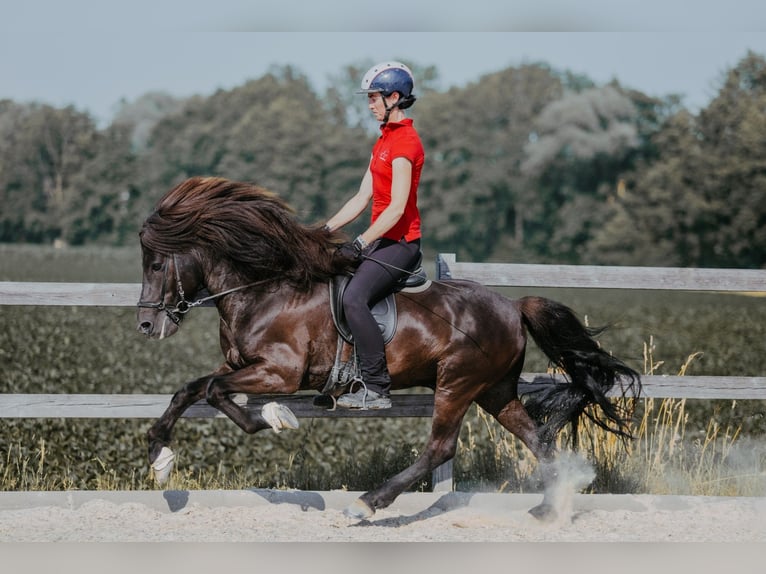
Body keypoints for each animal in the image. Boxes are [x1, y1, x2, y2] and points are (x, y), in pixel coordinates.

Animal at [136, 176, 640, 521]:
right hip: (494, 390)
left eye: (158, 264)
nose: (146, 324)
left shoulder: (280, 372)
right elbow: (191, 390)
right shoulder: (238, 365)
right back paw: (548, 509)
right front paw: (160, 459)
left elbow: (218, 393)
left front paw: (275, 418)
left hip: (457, 383)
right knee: (537, 439)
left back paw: (367, 503)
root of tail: (513, 306)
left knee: (440, 448)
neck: (263, 290)